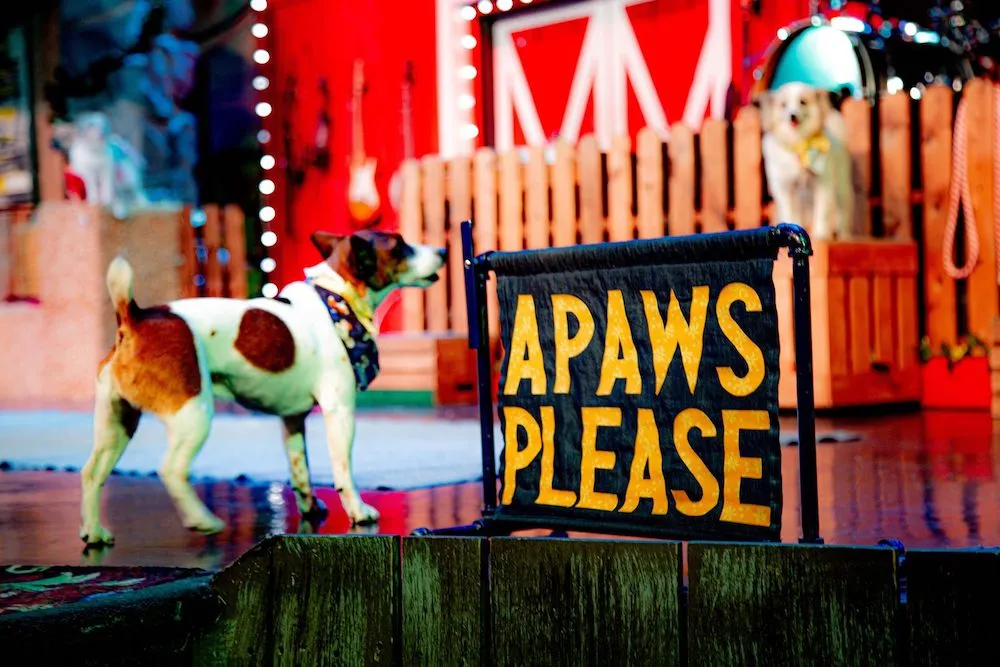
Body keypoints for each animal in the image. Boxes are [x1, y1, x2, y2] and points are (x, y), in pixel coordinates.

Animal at [80, 230, 448, 548]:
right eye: (400, 246)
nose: (444, 251)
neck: (337, 298)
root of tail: (134, 318)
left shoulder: (293, 420)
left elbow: (300, 471)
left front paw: (310, 509)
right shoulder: (340, 412)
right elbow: (343, 469)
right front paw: (358, 511)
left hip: (117, 422)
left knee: (92, 473)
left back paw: (93, 531)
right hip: (194, 415)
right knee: (171, 470)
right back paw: (202, 520)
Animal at [760, 82, 856, 241]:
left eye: (803, 102)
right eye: (783, 105)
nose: (792, 116)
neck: (799, 143)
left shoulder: (823, 184)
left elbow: (822, 212)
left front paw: (820, 233)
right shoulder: (784, 187)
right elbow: (789, 211)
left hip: (841, 186)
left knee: (843, 209)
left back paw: (844, 235)